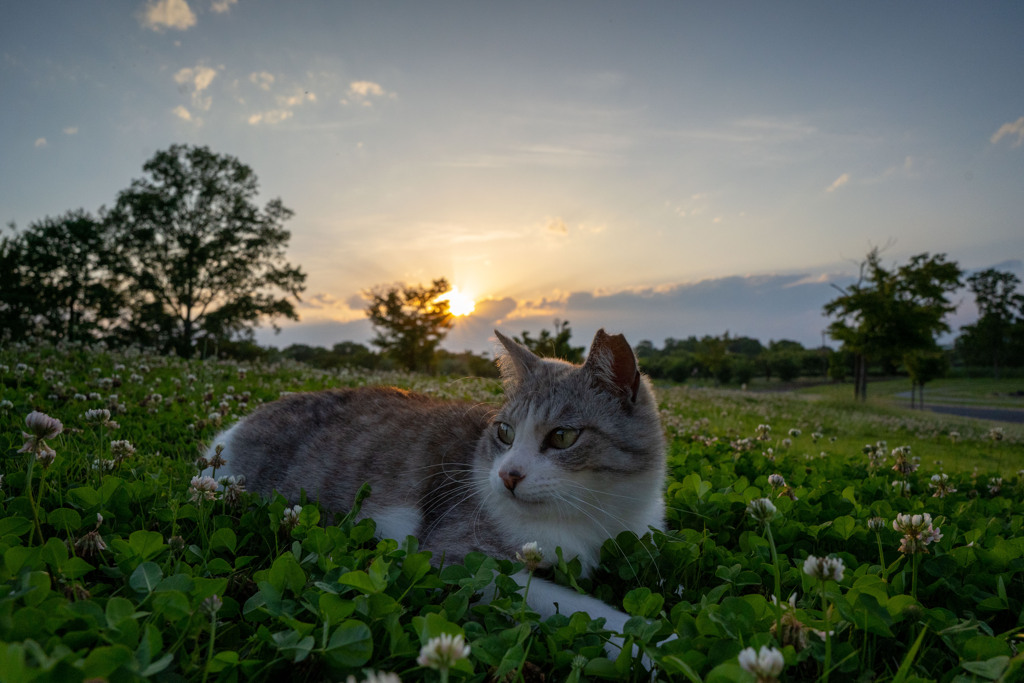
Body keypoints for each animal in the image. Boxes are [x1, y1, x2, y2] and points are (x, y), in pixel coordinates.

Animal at [203, 331, 667, 655]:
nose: (508, 476)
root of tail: (229, 435)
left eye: (563, 437)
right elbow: (574, 605)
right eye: (504, 432)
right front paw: (653, 645)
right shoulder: (456, 557)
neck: (590, 514)